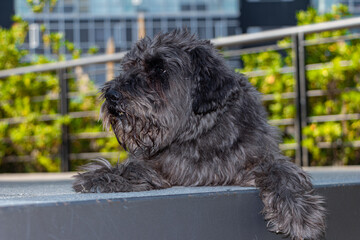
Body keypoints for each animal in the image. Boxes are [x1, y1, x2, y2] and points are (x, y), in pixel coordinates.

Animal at [73, 29, 326, 239]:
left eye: (160, 69)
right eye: (129, 66)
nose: (112, 95)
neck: (199, 135)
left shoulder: (258, 158)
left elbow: (284, 172)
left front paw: (299, 213)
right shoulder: (162, 165)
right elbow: (135, 167)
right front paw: (104, 175)